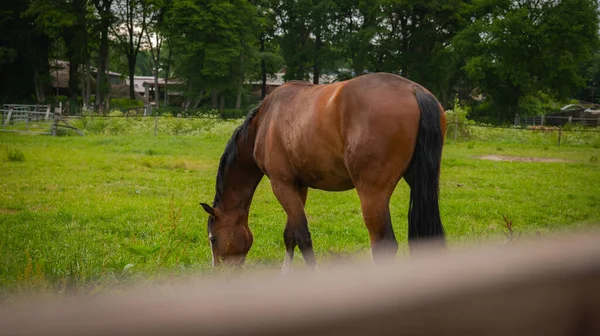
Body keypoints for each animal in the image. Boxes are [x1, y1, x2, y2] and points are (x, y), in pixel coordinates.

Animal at [200, 72, 446, 272]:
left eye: (213, 239)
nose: (218, 271)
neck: (266, 120)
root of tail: (413, 90)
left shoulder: (281, 185)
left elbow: (302, 235)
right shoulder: (298, 186)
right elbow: (290, 234)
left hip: (373, 195)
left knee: (383, 246)